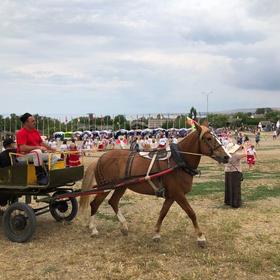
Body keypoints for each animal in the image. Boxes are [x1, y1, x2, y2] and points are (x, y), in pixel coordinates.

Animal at [79, 123, 230, 247]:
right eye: (209, 138)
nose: (226, 157)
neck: (178, 161)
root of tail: (100, 159)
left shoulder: (171, 196)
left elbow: (163, 213)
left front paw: (156, 233)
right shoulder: (178, 194)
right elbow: (191, 213)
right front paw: (200, 237)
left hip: (121, 186)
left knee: (113, 202)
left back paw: (124, 226)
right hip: (106, 188)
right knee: (95, 204)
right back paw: (93, 229)